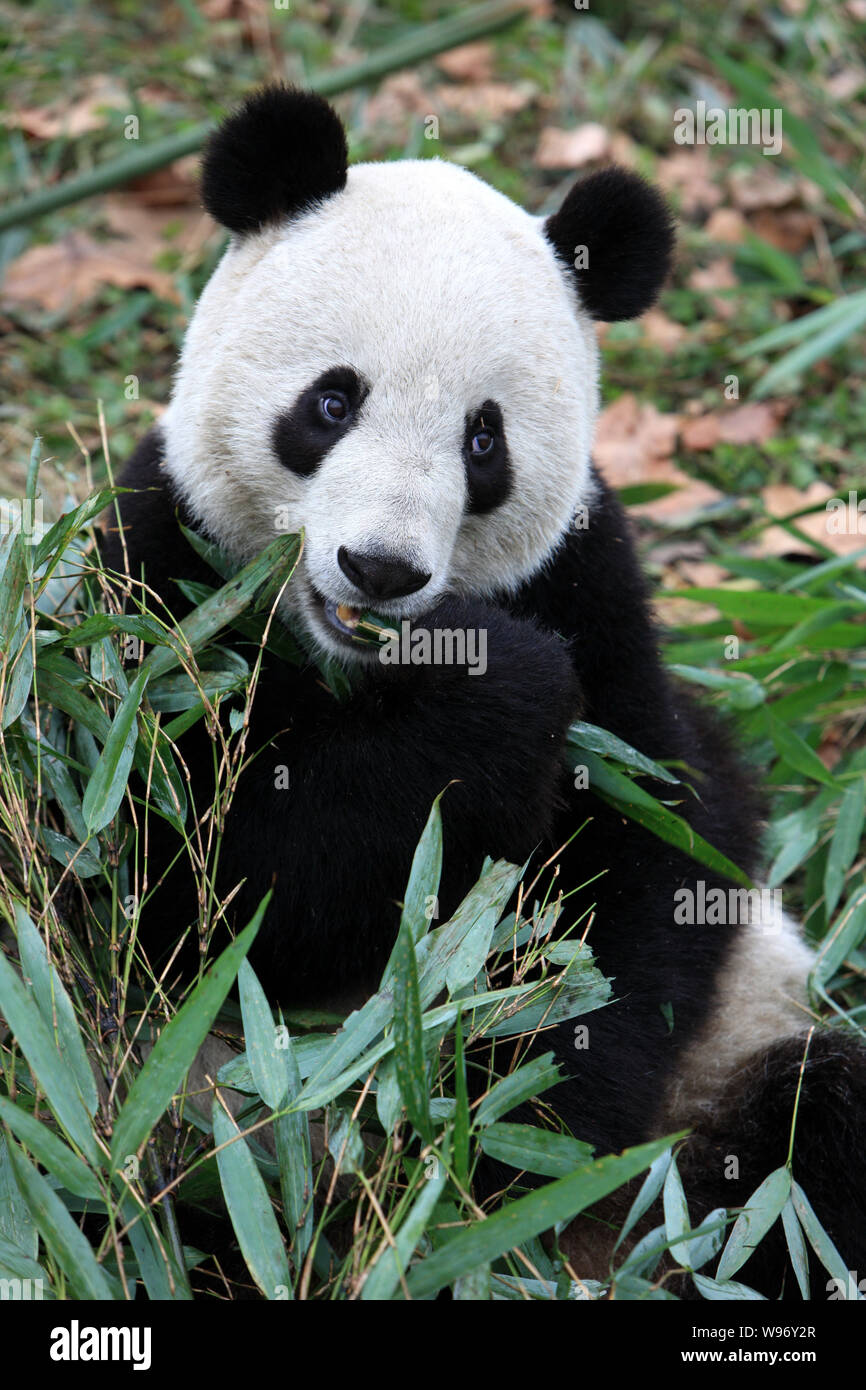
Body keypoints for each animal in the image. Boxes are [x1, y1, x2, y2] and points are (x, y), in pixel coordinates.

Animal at [103, 89, 866, 1301]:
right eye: (332, 401)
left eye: (483, 439)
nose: (379, 570)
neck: (357, 659)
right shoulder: (157, 592)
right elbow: (196, 888)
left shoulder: (592, 593)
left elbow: (638, 875)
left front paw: (501, 1134)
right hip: (187, 1114)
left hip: (745, 1040)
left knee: (814, 1134)